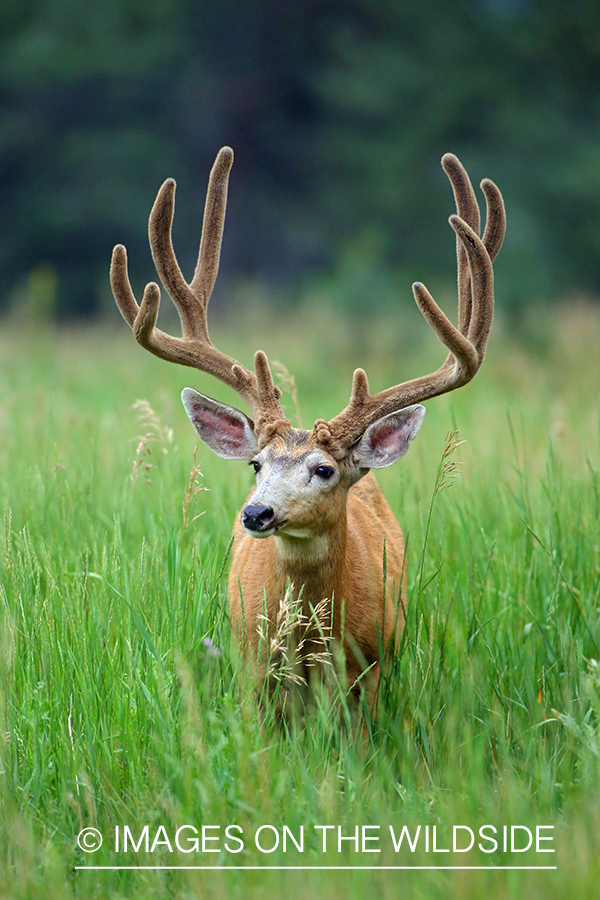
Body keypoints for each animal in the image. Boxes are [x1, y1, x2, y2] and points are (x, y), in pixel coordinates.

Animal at [110, 147, 505, 715]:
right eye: (256, 464)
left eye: (324, 470)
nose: (256, 513)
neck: (308, 643)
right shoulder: (253, 669)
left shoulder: (371, 671)